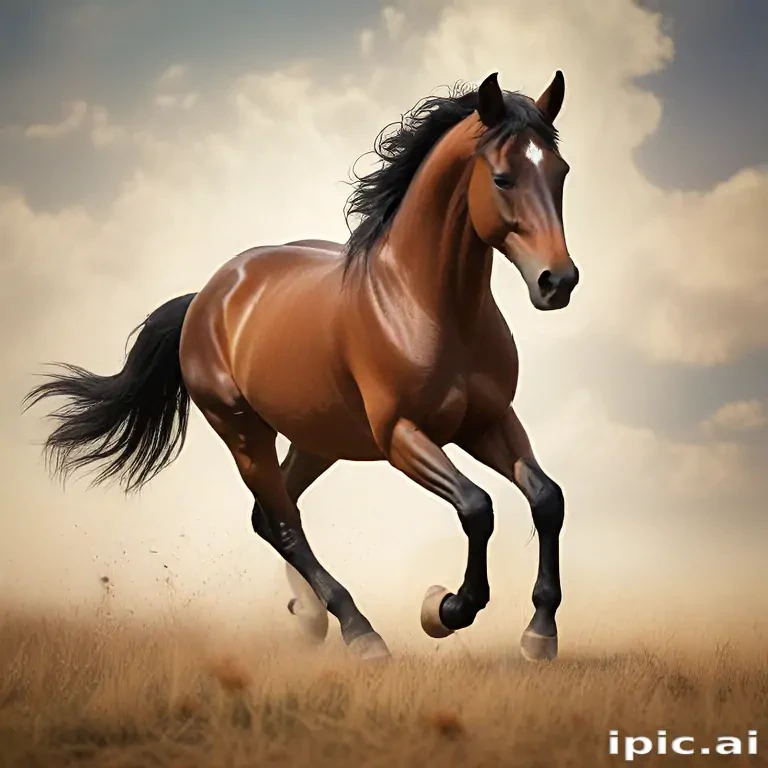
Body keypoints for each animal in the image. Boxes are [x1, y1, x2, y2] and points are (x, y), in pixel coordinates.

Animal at [24, 71, 578, 662]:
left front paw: (540, 633)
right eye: (502, 178)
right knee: (284, 521)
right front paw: (444, 609)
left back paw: (312, 616)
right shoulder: (402, 436)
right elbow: (477, 506)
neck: (427, 303)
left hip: (318, 439)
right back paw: (359, 631)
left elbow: (547, 499)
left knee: (270, 515)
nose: (557, 282)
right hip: (244, 434)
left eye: (560, 172)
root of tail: (207, 297)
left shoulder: (488, 421)